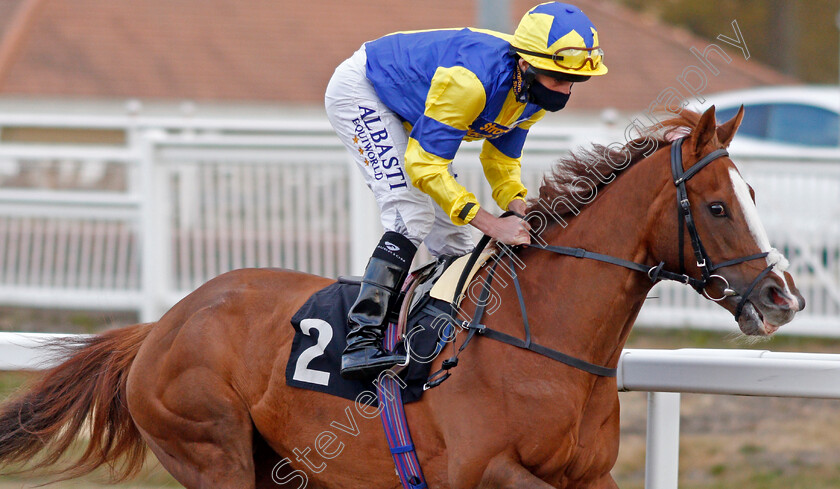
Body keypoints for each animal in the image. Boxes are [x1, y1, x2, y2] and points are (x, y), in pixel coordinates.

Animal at [0, 107, 804, 488]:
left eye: (755, 194)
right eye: (719, 205)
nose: (783, 295)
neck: (542, 343)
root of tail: (160, 326)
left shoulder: (590, 474)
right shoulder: (480, 472)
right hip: (210, 451)